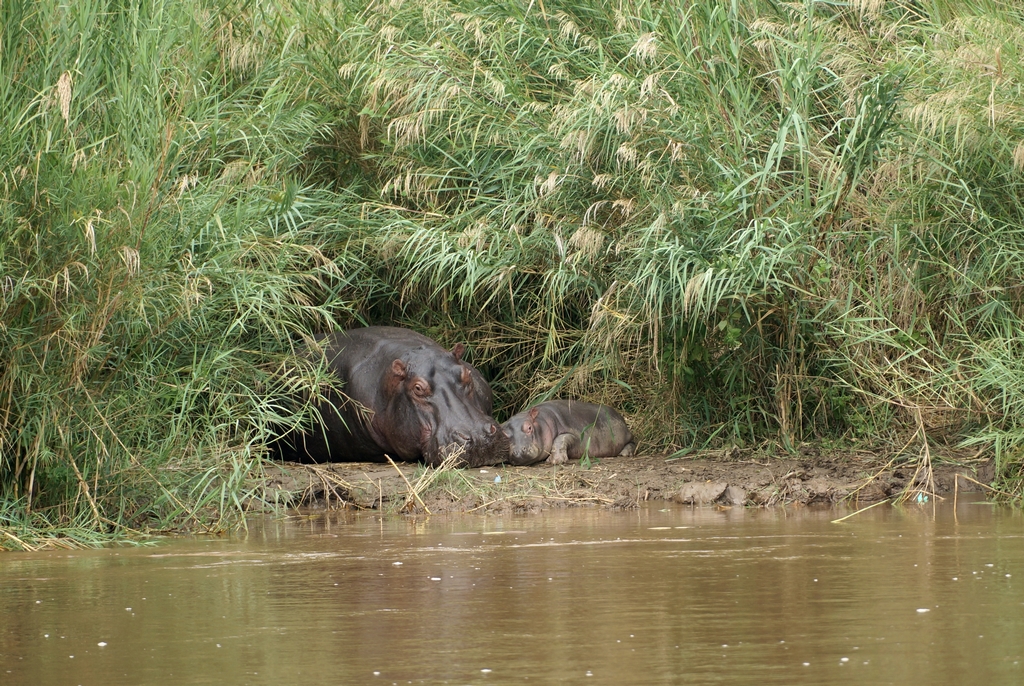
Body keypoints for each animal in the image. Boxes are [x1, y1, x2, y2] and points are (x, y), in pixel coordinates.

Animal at [501, 400, 635, 466]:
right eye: (504, 436)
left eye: (529, 427)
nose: (518, 452)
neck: (542, 420)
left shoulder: (577, 435)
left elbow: (561, 438)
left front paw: (555, 461)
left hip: (626, 434)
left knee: (632, 442)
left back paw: (624, 453)